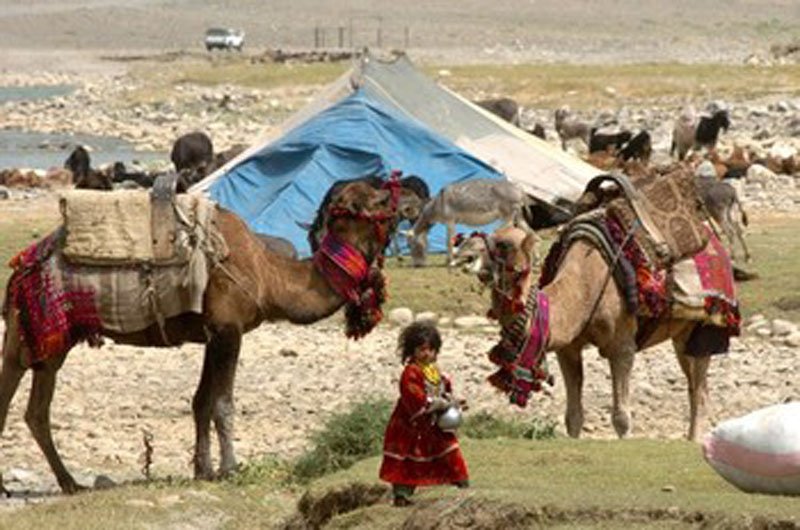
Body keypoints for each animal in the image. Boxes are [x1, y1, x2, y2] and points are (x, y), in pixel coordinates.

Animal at [0, 175, 400, 492]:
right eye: (373, 200)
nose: (402, 198)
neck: (269, 277)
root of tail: (20, 267)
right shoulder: (228, 329)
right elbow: (222, 403)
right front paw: (230, 469)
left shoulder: (213, 334)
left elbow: (200, 402)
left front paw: (203, 470)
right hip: (35, 334)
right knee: (19, 396)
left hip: (44, 340)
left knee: (34, 409)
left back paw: (67, 482)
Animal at [482, 227, 712, 442]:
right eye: (490, 244)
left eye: (505, 246)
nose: (484, 270)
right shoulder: (568, 349)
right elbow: (573, 416)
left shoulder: (622, 345)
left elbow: (621, 416)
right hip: (682, 336)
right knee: (693, 383)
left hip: (704, 327)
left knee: (700, 388)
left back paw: (694, 440)